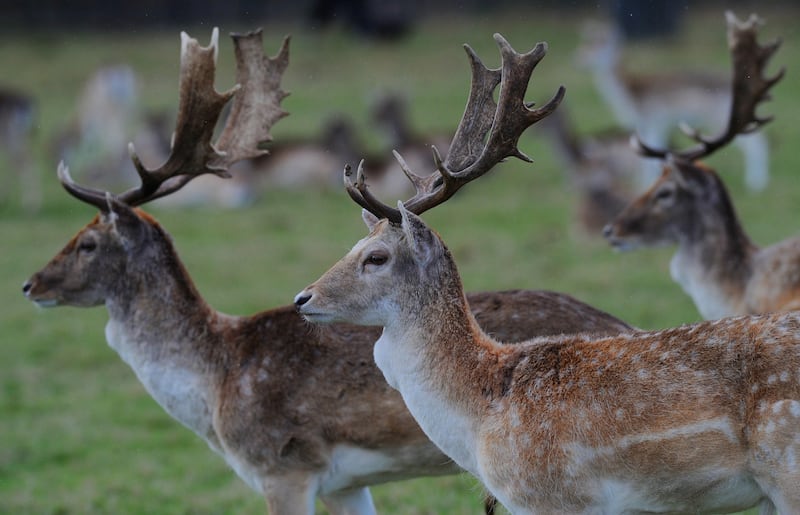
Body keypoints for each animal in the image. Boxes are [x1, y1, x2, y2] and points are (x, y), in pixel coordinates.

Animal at [21, 26, 636, 512]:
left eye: (87, 243)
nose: (30, 283)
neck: (217, 382)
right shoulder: (344, 484)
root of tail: (624, 324)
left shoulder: (284, 468)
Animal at [580, 17, 772, 194]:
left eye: (598, 45)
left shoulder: (653, 119)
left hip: (719, 117)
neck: (630, 95)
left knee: (757, 144)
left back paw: (756, 184)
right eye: (586, 43)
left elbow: (649, 157)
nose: (580, 58)